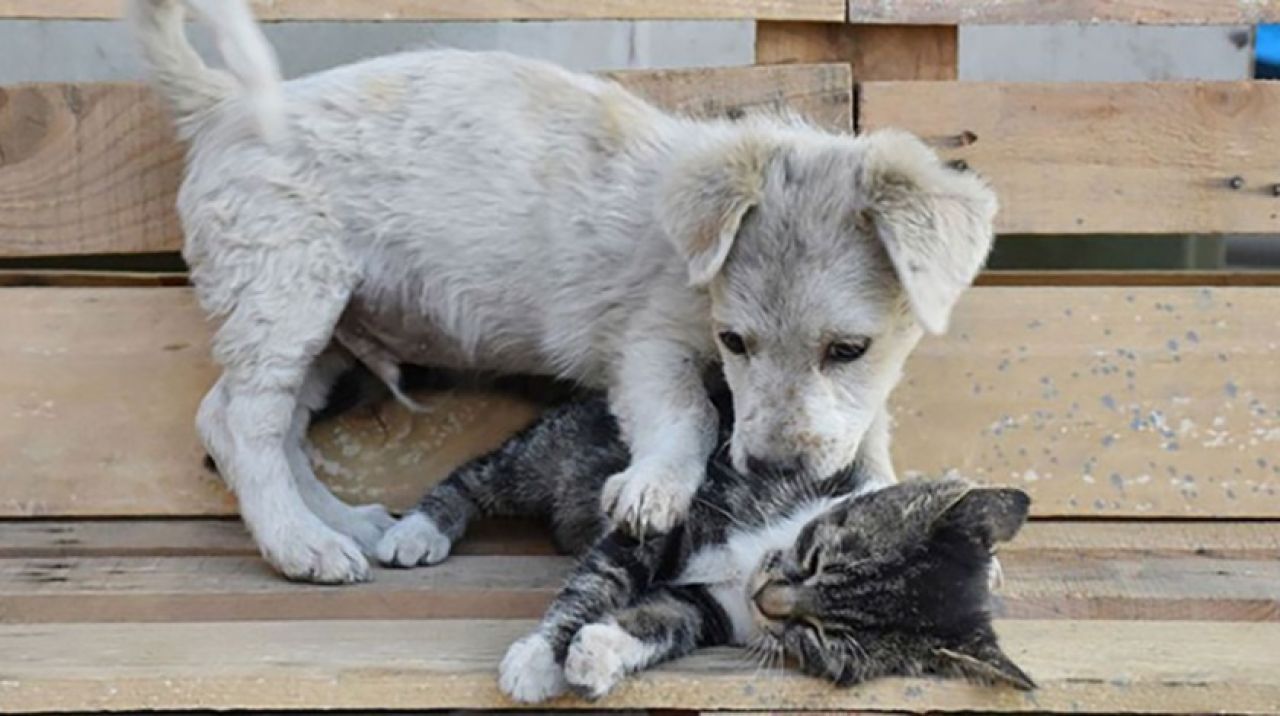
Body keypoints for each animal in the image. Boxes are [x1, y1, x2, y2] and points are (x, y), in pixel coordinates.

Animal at [129, 0, 998, 584]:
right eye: (734, 341)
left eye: (848, 348)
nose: (770, 471)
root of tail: (223, 106)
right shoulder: (646, 347)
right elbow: (686, 415)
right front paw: (655, 487)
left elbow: (869, 438)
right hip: (286, 295)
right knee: (242, 424)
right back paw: (301, 544)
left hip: (330, 326)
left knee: (258, 424)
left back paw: (342, 521)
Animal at [376, 397, 1029, 707]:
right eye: (818, 554)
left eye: (823, 637)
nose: (767, 597)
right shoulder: (663, 516)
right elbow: (597, 581)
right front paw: (540, 656)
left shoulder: (718, 609)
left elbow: (671, 618)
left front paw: (600, 652)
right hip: (553, 455)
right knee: (480, 477)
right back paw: (420, 530)